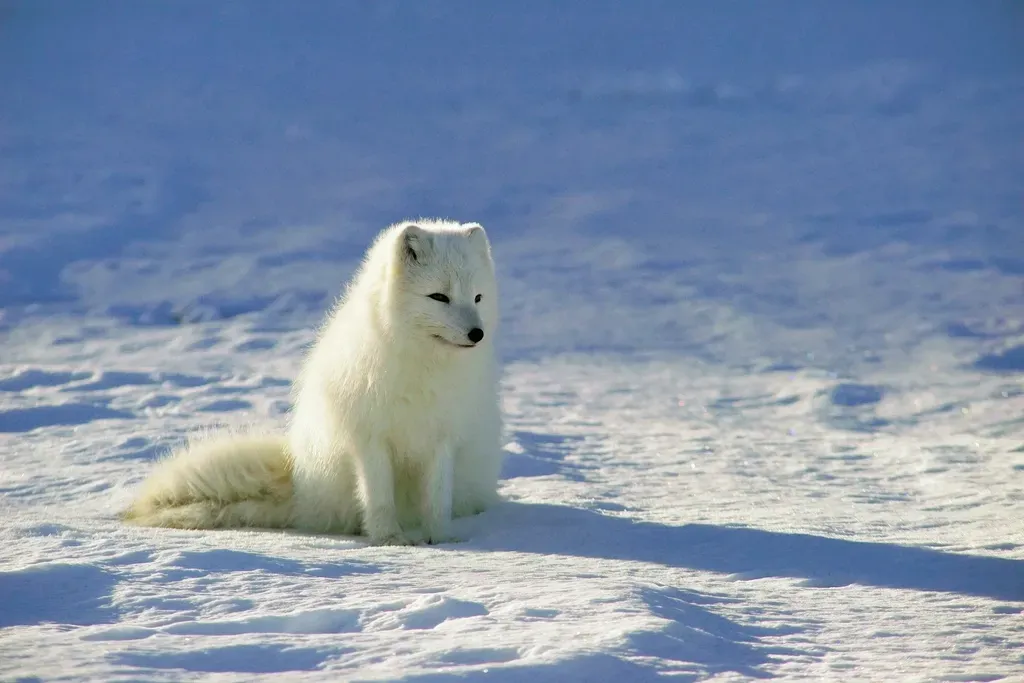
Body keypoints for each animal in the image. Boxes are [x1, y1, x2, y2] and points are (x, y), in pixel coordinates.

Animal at [122, 219, 504, 545]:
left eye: (477, 297)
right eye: (439, 297)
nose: (477, 334)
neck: (423, 367)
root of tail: (301, 487)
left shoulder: (442, 438)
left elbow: (437, 499)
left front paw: (440, 539)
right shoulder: (369, 438)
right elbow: (379, 497)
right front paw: (390, 539)